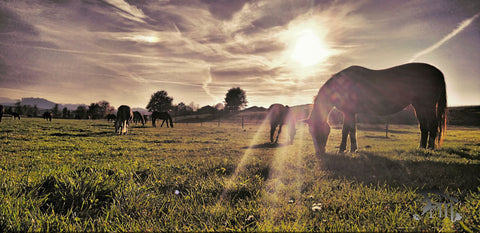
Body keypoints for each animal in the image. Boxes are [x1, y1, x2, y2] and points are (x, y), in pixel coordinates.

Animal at [306, 63, 448, 155]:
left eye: (318, 130)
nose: (319, 152)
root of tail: (438, 72)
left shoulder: (348, 112)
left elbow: (346, 130)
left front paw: (342, 150)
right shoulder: (351, 113)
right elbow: (352, 130)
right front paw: (353, 149)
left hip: (428, 105)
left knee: (433, 125)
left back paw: (430, 148)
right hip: (419, 106)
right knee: (424, 127)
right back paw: (421, 148)